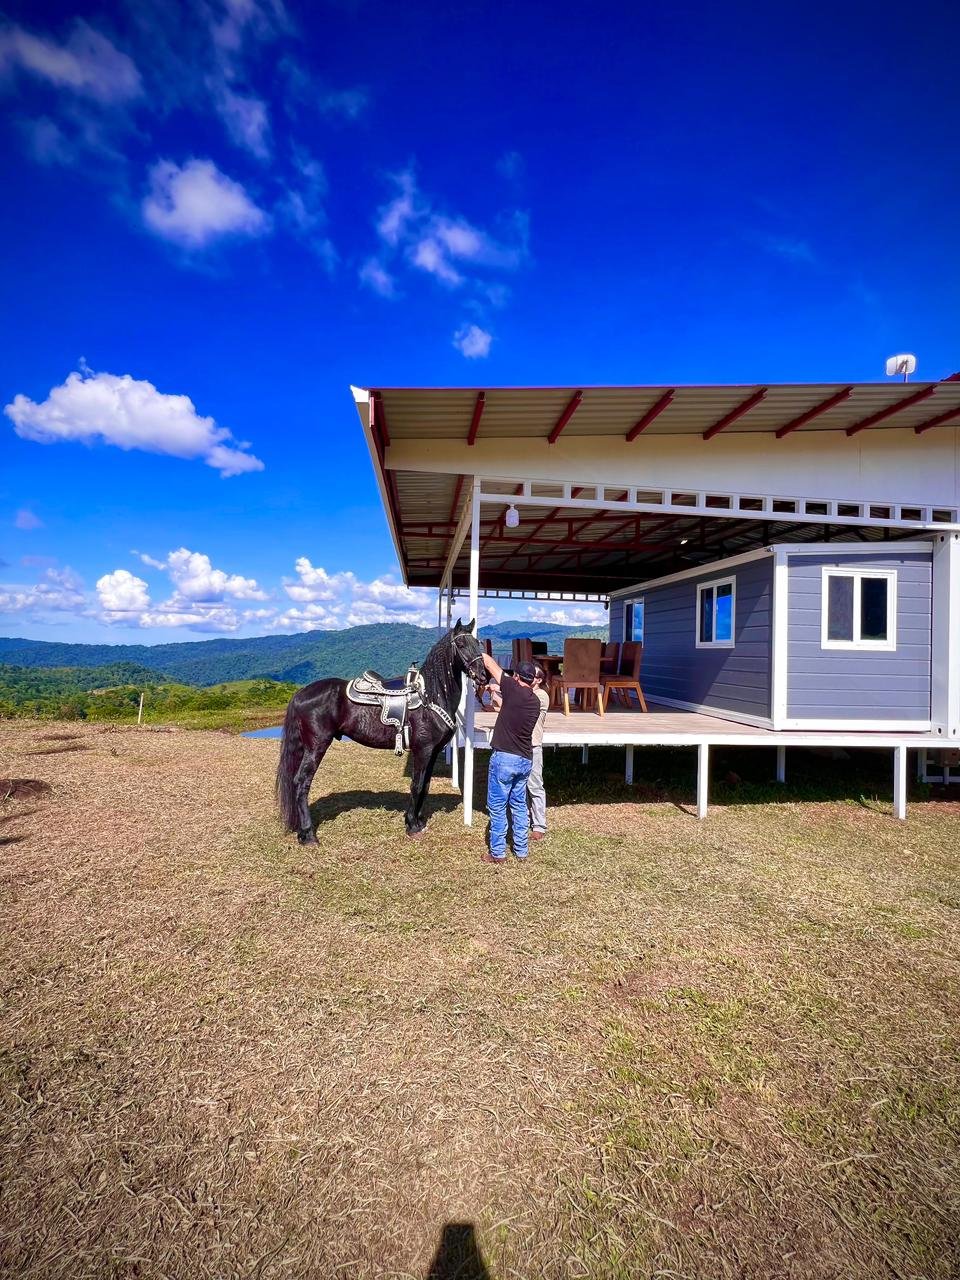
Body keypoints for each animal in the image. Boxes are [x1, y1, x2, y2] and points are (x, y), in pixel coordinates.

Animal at [275, 620, 487, 842]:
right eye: (461, 644)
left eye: (478, 643)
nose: (483, 675)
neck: (430, 696)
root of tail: (301, 693)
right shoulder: (423, 750)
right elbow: (416, 784)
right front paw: (412, 825)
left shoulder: (433, 751)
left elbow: (426, 785)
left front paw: (419, 822)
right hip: (316, 747)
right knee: (302, 782)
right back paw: (308, 834)